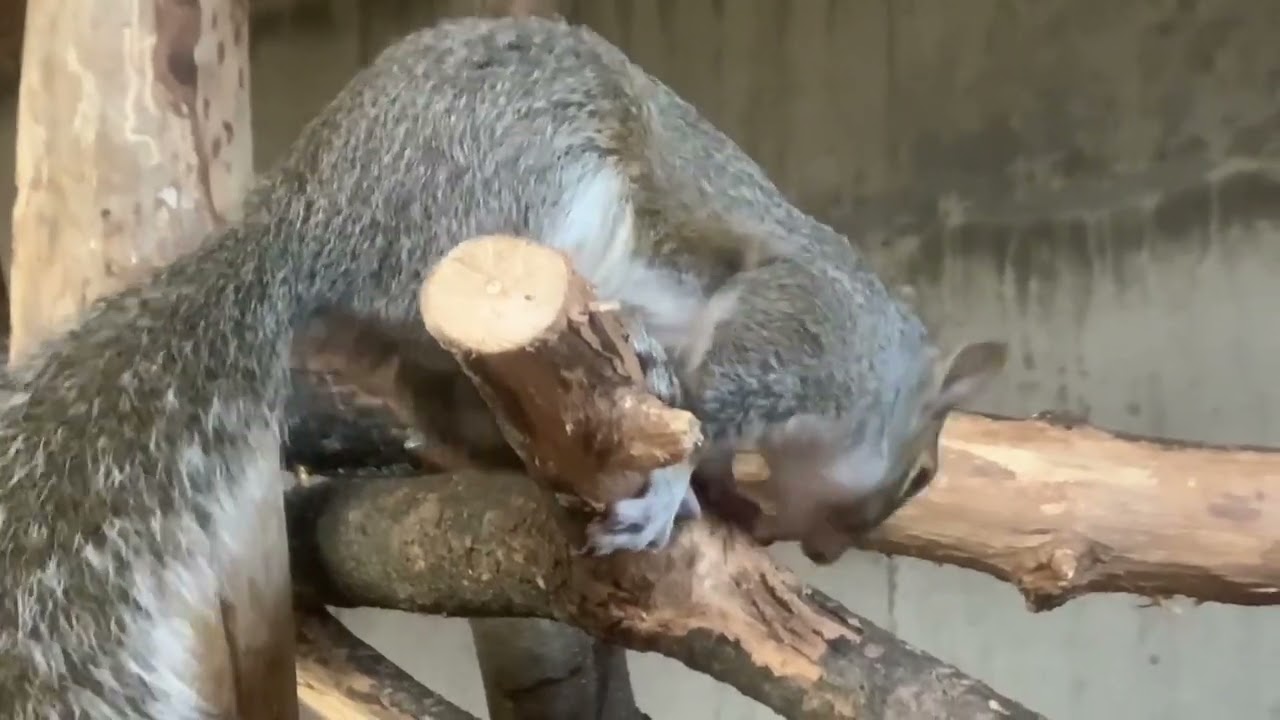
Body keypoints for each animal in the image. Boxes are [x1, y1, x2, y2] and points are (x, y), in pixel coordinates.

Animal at [0, 14, 1006, 716]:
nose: (831, 548)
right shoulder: (809, 332)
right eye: (922, 475)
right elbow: (714, 393)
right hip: (516, 185)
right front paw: (670, 482)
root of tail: (304, 220)